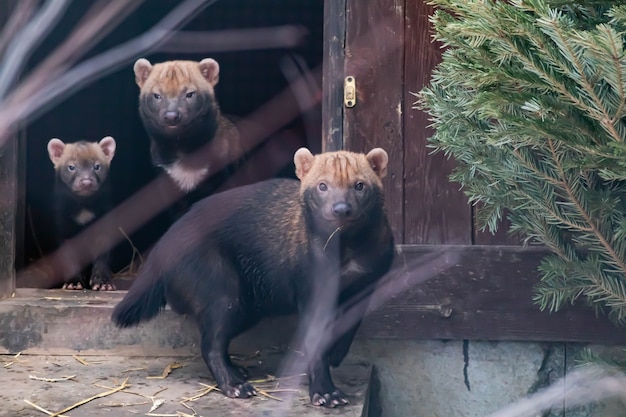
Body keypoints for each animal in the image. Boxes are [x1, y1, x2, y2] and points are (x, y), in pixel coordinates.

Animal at [47, 136, 116, 290]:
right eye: (71, 167)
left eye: (97, 166)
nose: (86, 182)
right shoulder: (63, 227)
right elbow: (68, 258)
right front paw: (73, 283)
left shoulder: (104, 225)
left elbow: (102, 256)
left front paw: (103, 283)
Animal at [113, 147, 390, 406]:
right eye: (322, 185)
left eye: (360, 185)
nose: (341, 209)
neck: (347, 257)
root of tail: (164, 244)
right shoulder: (313, 291)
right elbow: (315, 343)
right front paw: (326, 393)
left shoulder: (367, 285)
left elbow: (349, 327)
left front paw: (337, 355)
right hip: (225, 294)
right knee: (210, 344)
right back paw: (235, 385)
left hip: (248, 307)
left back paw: (238, 370)